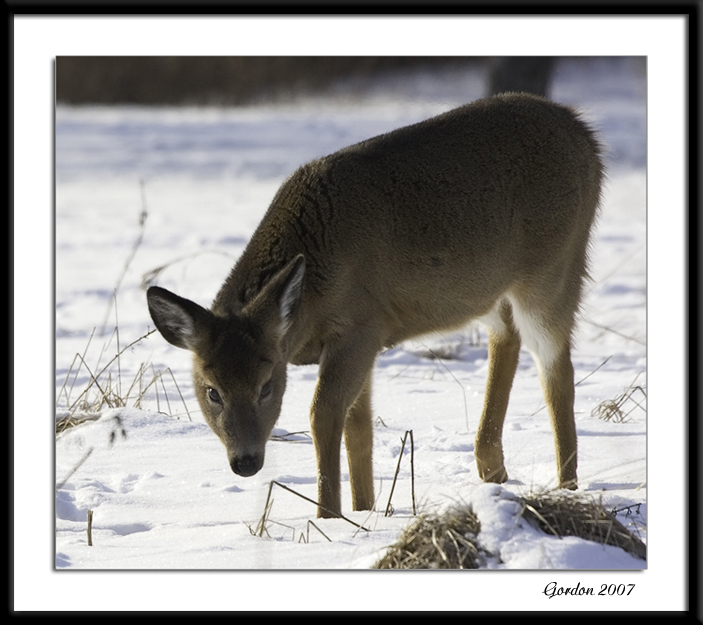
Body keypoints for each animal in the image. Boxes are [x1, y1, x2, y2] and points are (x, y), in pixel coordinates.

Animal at [146, 92, 604, 520]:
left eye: (266, 385)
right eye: (211, 390)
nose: (245, 462)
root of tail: (585, 134)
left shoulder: (360, 325)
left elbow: (323, 413)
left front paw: (328, 518)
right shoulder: (363, 338)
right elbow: (359, 427)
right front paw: (365, 509)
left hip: (554, 267)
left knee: (556, 368)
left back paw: (566, 488)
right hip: (492, 288)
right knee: (506, 339)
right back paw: (494, 472)